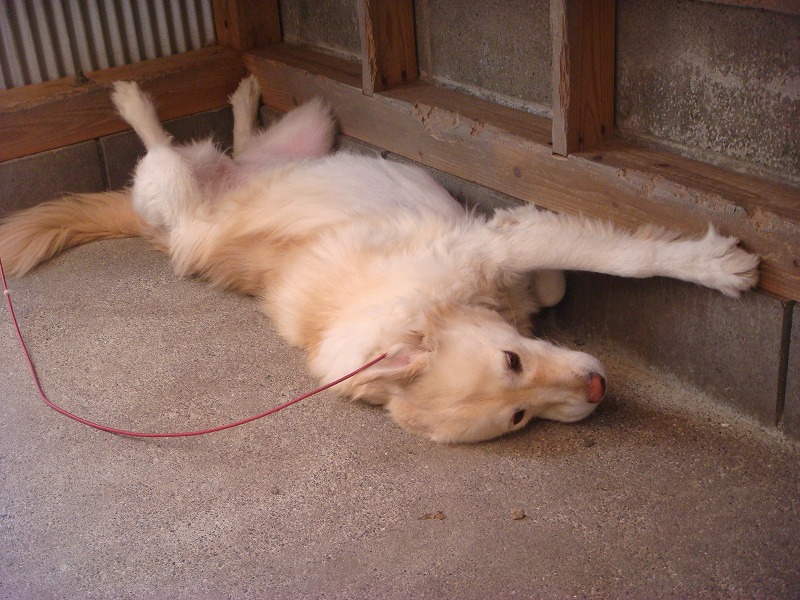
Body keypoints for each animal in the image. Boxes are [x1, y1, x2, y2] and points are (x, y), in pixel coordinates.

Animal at [0, 76, 760, 443]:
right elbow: (589, 259)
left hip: (309, 130)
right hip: (175, 194)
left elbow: (600, 261)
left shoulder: (497, 243)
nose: (598, 389)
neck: (430, 308)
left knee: (216, 141)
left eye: (514, 361)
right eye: (518, 416)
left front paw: (712, 268)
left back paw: (215, 97)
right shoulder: (501, 244)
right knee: (164, 151)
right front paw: (716, 265)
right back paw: (142, 99)